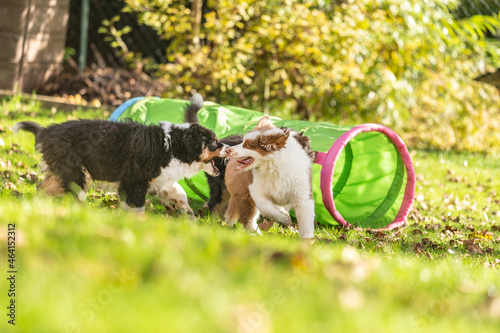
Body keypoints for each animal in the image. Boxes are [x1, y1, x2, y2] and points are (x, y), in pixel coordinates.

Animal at [14, 94, 230, 213]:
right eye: (213, 142)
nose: (229, 147)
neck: (174, 146)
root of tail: (45, 132)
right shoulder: (134, 181)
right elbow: (137, 208)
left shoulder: (158, 181)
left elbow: (179, 194)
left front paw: (189, 215)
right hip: (77, 173)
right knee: (73, 195)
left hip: (67, 172)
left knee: (42, 188)